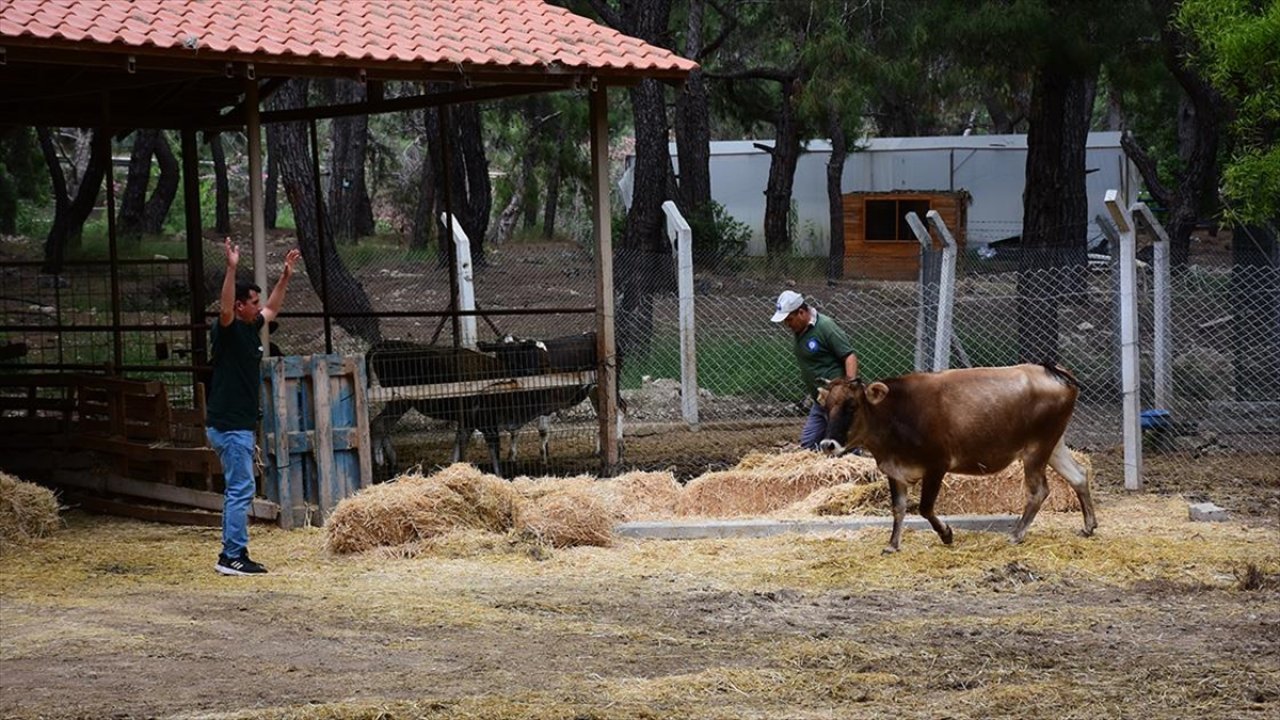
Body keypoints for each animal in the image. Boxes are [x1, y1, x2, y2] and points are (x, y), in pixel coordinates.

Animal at [819, 361, 1100, 550]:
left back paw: (1016, 534)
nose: (828, 444)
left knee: (1038, 491)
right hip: (1053, 445)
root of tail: (1051, 369)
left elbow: (925, 508)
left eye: (852, 406)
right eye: (826, 406)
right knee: (1078, 475)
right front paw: (892, 544)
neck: (895, 413)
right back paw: (1088, 526)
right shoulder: (894, 470)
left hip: (1036, 449)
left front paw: (946, 534)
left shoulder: (937, 464)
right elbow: (898, 508)